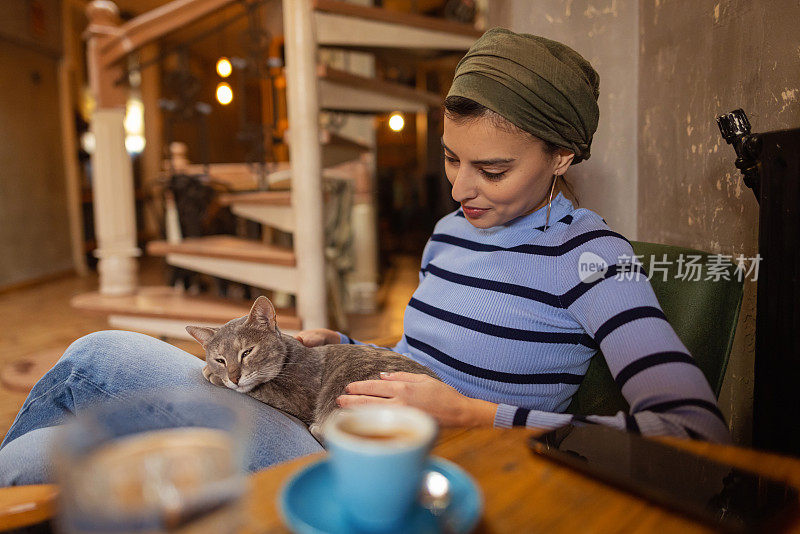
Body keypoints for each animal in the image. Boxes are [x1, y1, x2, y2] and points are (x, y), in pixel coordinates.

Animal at [186, 298, 438, 440]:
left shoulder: (299, 397)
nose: (233, 377)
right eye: (220, 360)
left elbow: (263, 389)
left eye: (247, 352)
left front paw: (212, 376)